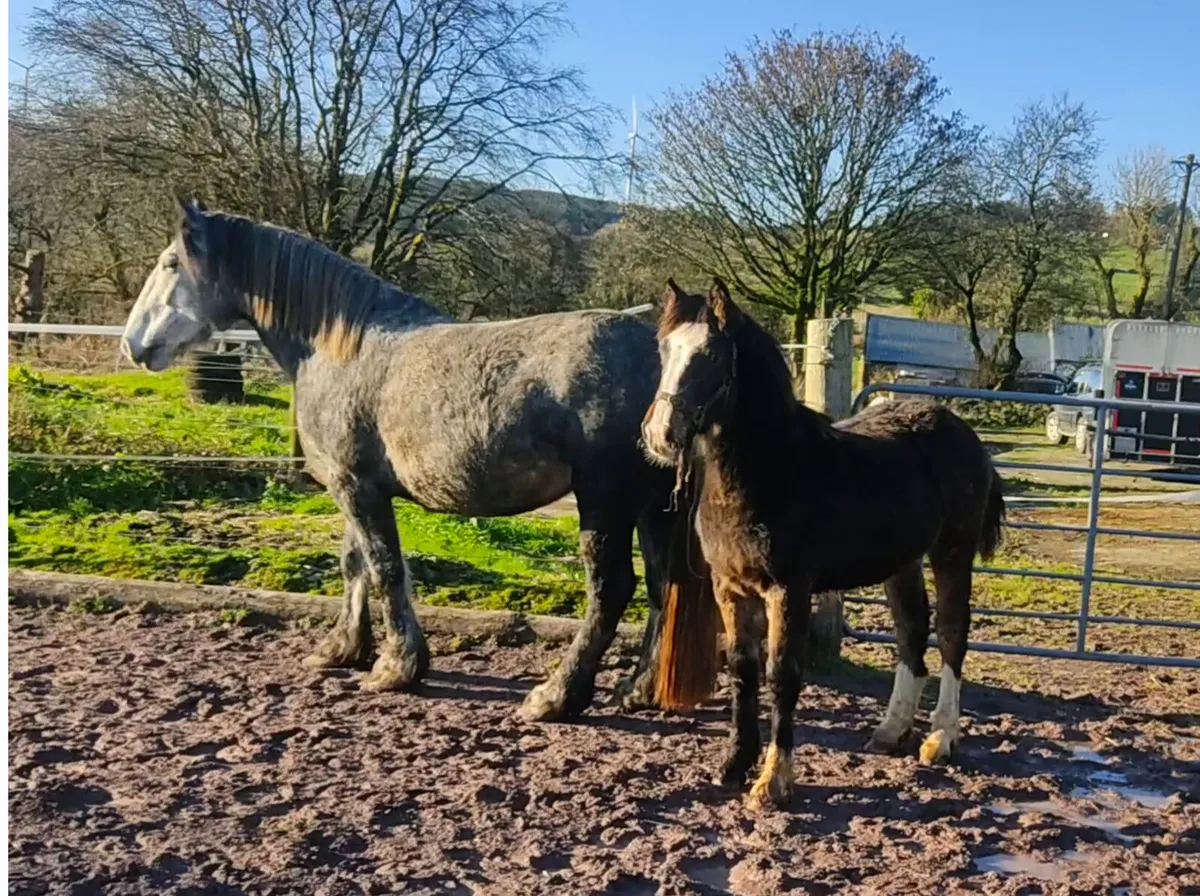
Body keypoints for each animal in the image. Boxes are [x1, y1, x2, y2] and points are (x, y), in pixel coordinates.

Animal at [120, 197, 709, 723]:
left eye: (170, 264)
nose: (133, 345)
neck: (340, 348)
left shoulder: (356, 488)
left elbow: (384, 568)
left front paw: (396, 666)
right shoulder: (352, 486)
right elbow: (355, 562)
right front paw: (343, 649)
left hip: (605, 503)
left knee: (611, 591)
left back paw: (556, 697)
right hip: (652, 508)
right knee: (664, 587)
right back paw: (637, 690)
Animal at [641, 278, 1005, 809]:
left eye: (711, 355)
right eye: (664, 349)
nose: (659, 435)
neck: (769, 472)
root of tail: (964, 432)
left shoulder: (788, 591)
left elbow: (783, 674)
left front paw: (773, 781)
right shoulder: (730, 588)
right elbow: (743, 670)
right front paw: (734, 765)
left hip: (952, 554)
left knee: (953, 633)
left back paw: (941, 739)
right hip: (903, 562)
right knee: (912, 632)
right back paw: (891, 731)